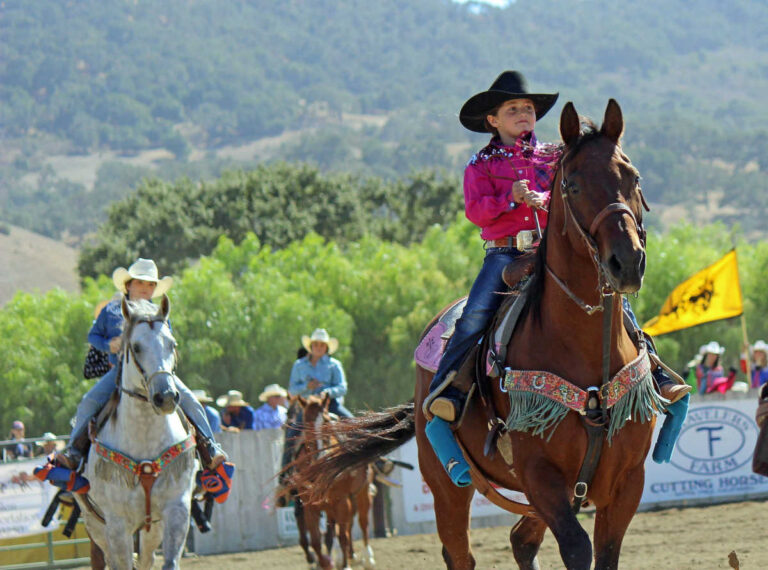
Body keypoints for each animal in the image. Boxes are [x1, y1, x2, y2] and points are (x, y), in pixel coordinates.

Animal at [74, 298, 196, 568]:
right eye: (137, 347)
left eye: (172, 344)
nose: (166, 397)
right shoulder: (117, 523)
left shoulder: (177, 509)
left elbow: (169, 561)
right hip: (95, 525)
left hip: (152, 528)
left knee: (147, 559)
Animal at [286, 392, 376, 568]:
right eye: (306, 424)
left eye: (326, 421)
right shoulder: (309, 506)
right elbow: (316, 541)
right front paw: (325, 563)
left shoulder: (341, 500)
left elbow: (342, 536)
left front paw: (346, 566)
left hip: (361, 493)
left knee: (362, 523)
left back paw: (367, 557)